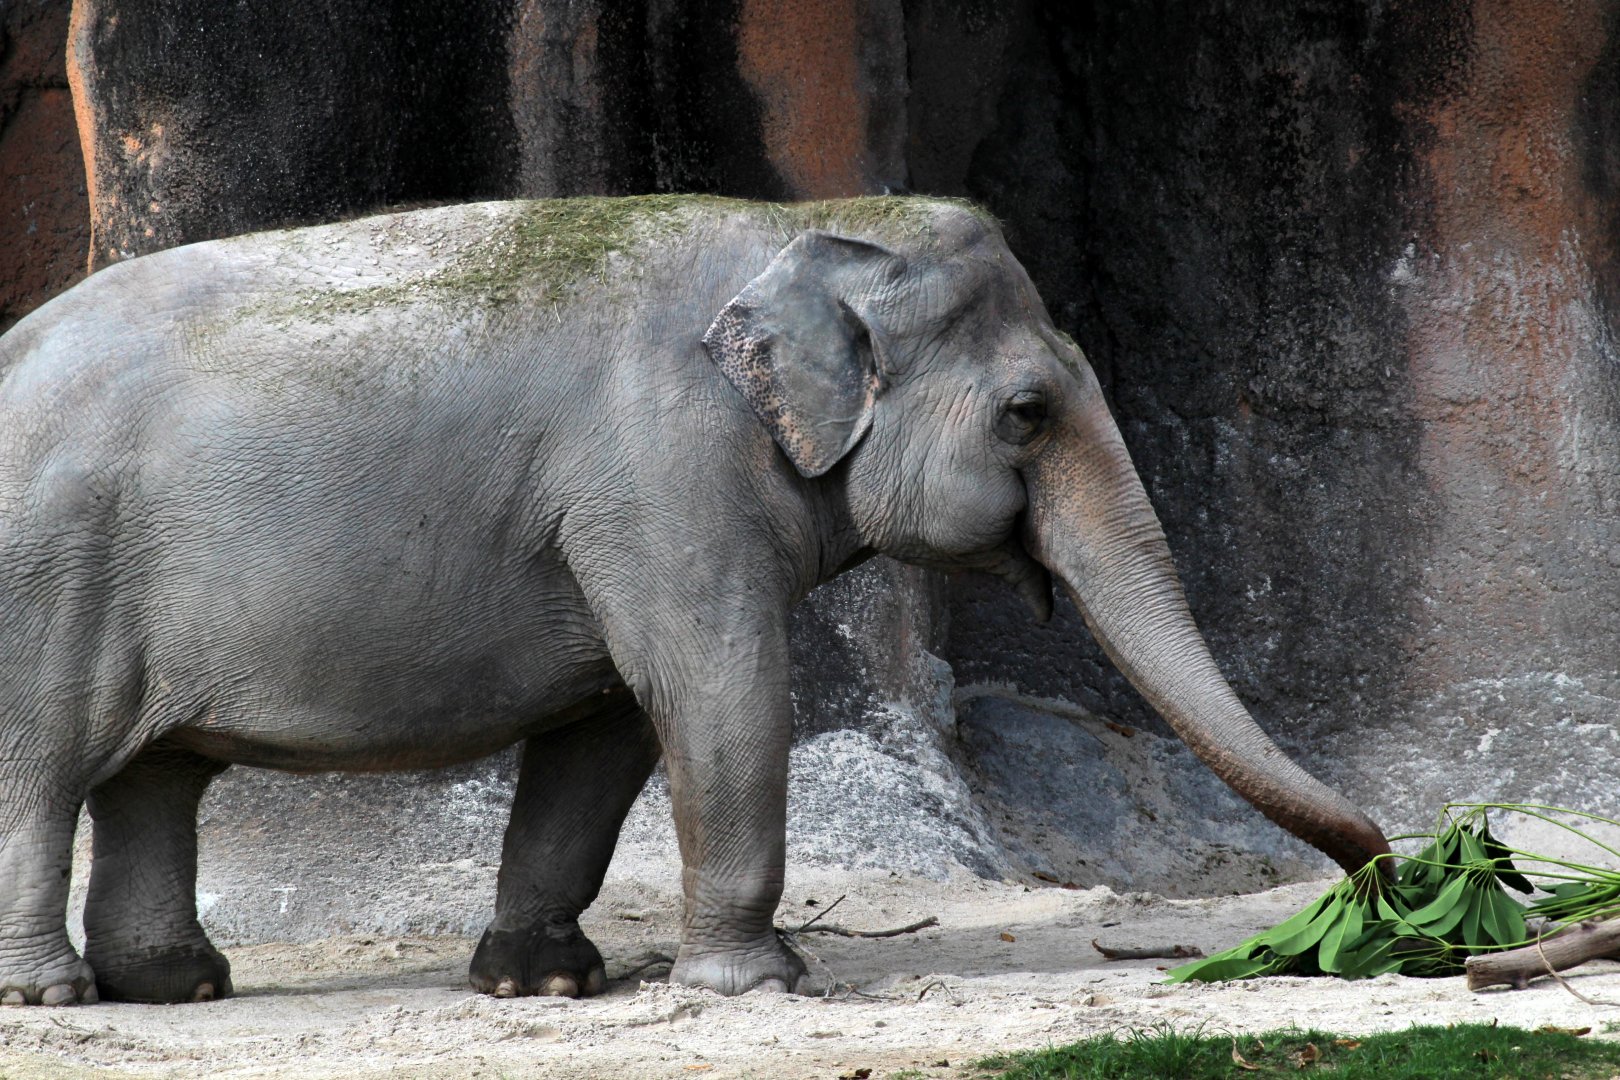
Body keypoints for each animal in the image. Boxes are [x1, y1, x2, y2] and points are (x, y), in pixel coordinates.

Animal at [0, 194, 1390, 1006]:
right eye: (1027, 413)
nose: (1382, 872)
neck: (806, 226)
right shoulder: (665, 466)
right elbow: (716, 683)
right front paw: (758, 985)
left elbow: (606, 728)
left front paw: (543, 986)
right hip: (45, 574)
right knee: (42, 773)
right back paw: (54, 999)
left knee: (155, 776)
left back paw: (177, 988)